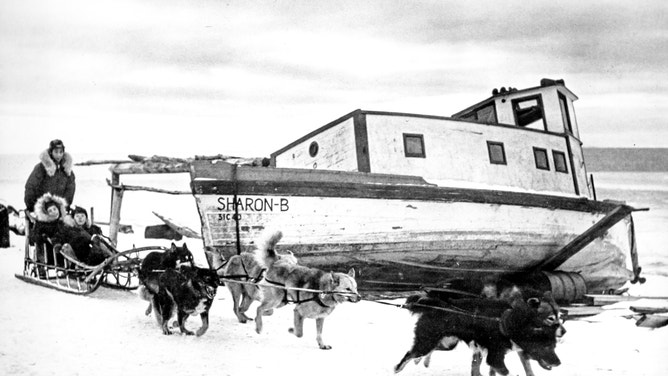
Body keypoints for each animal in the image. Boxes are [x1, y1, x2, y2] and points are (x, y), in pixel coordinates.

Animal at [396, 290, 564, 374]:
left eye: (554, 347)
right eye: (550, 318)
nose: (558, 363)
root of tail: (436, 304)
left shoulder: (510, 354)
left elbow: (528, 371)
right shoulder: (495, 359)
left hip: (447, 344)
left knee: (426, 351)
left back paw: (422, 361)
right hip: (427, 342)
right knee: (410, 354)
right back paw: (398, 368)